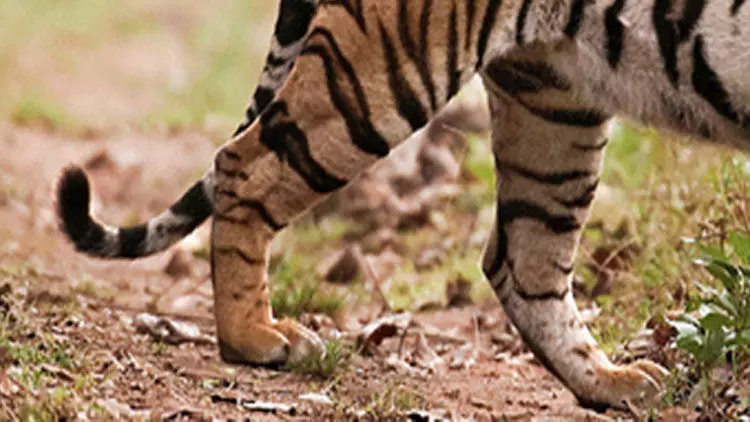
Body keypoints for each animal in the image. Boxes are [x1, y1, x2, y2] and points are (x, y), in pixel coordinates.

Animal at [55, 0, 750, 412]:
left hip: (555, 97)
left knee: (520, 258)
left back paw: (609, 383)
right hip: (386, 66)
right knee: (243, 166)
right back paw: (257, 339)